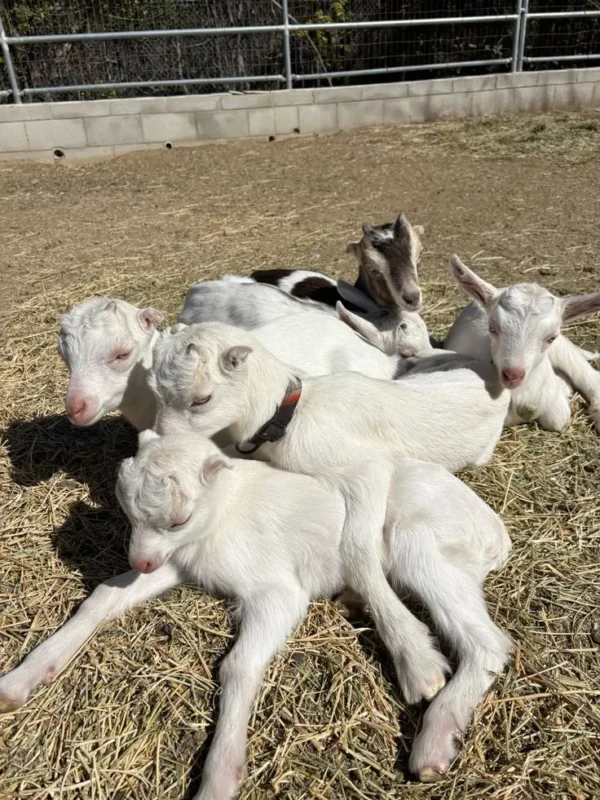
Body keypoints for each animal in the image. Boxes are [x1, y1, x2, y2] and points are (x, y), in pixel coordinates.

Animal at [0, 430, 511, 794]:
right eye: (126, 509)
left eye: (180, 517)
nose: (141, 561)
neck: (224, 509)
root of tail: (496, 534)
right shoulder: (180, 562)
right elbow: (103, 596)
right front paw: (21, 680)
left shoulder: (276, 590)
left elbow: (239, 665)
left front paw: (220, 776)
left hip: (419, 542)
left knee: (489, 644)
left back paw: (434, 738)